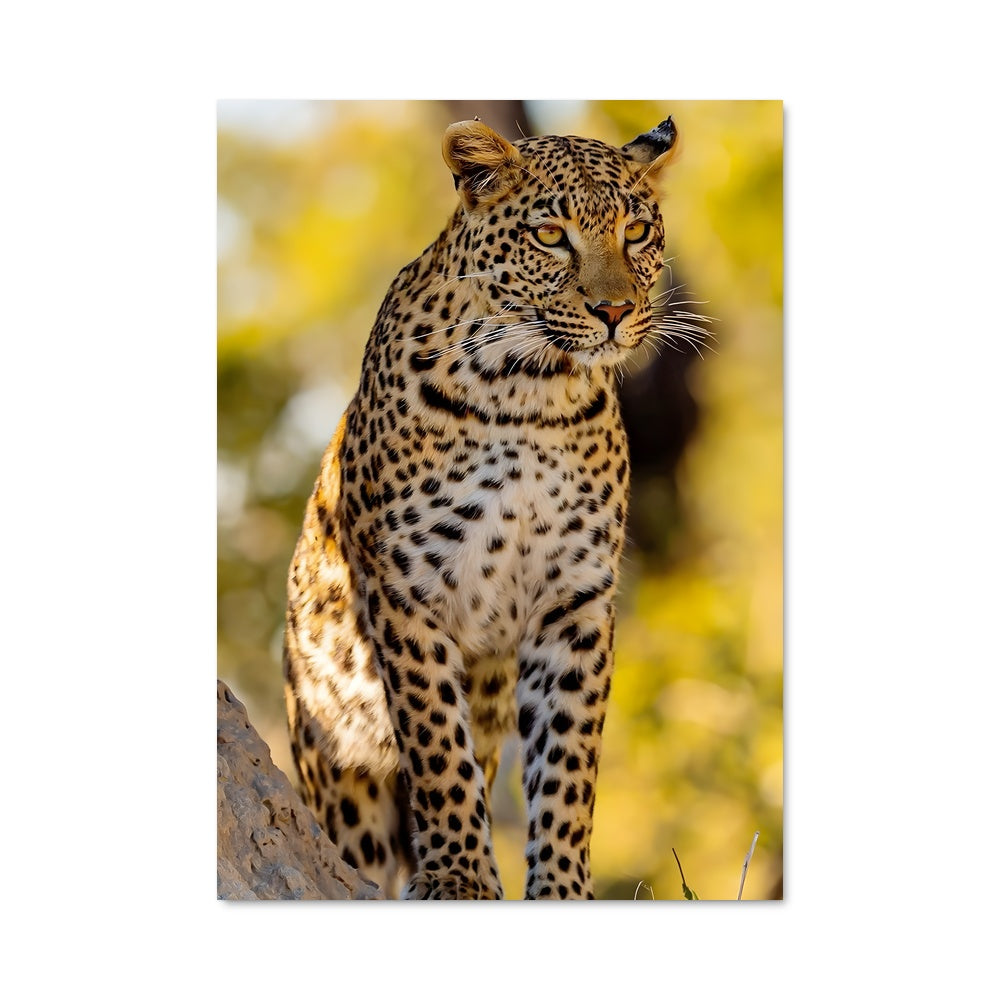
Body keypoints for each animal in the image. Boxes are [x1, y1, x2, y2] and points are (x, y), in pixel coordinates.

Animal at [283, 115, 680, 899]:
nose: (614, 312)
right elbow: (439, 746)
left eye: (637, 231)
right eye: (551, 234)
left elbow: (568, 762)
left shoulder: (574, 599)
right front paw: (461, 878)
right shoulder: (408, 589)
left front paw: (561, 889)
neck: (531, 393)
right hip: (333, 768)